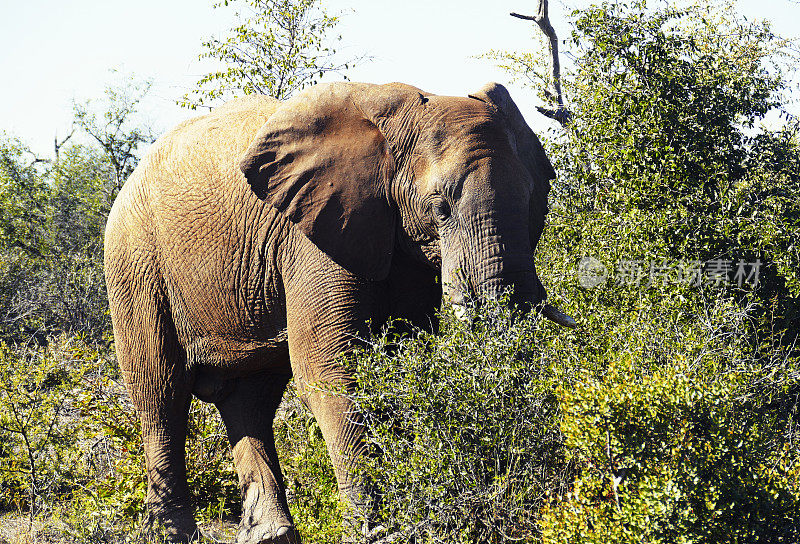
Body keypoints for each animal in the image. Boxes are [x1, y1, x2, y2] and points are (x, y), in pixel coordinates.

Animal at [104, 81, 576, 544]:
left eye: (536, 203)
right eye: (440, 207)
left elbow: (399, 363)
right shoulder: (314, 238)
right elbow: (332, 371)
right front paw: (379, 532)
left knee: (250, 399)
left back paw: (271, 536)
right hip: (135, 263)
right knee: (160, 393)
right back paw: (170, 534)